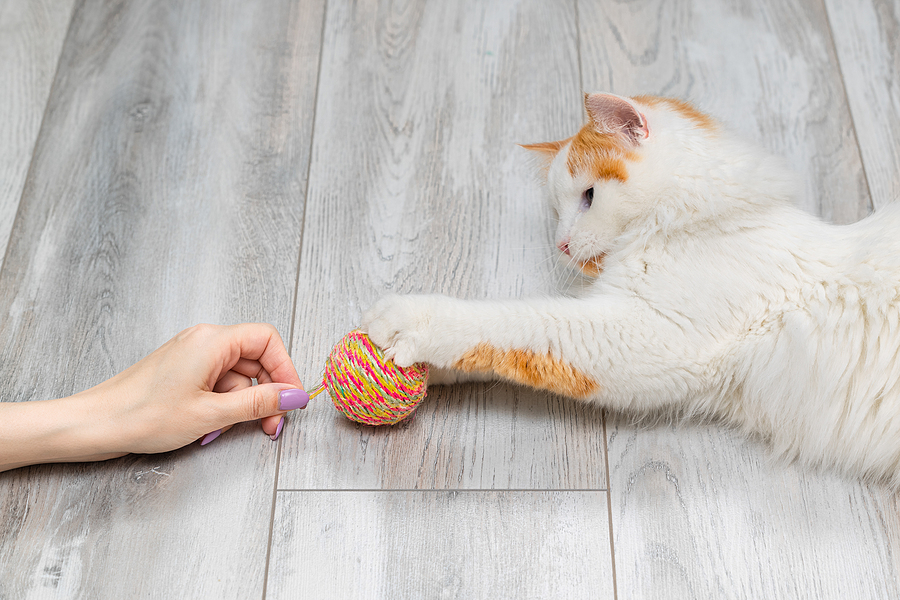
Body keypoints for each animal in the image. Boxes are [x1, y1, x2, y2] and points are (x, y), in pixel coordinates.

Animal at [362, 92, 900, 488]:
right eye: (556, 210)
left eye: (588, 197)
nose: (560, 245)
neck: (692, 220)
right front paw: (416, 368)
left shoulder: (650, 335)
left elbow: (516, 322)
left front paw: (409, 323)